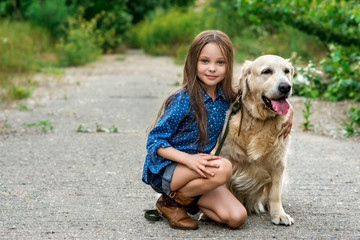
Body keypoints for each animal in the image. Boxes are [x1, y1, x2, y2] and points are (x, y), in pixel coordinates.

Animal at [215, 55, 294, 226]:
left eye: (286, 71)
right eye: (267, 71)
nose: (286, 87)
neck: (259, 120)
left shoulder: (279, 163)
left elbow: (274, 194)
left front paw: (279, 214)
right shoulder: (225, 158)